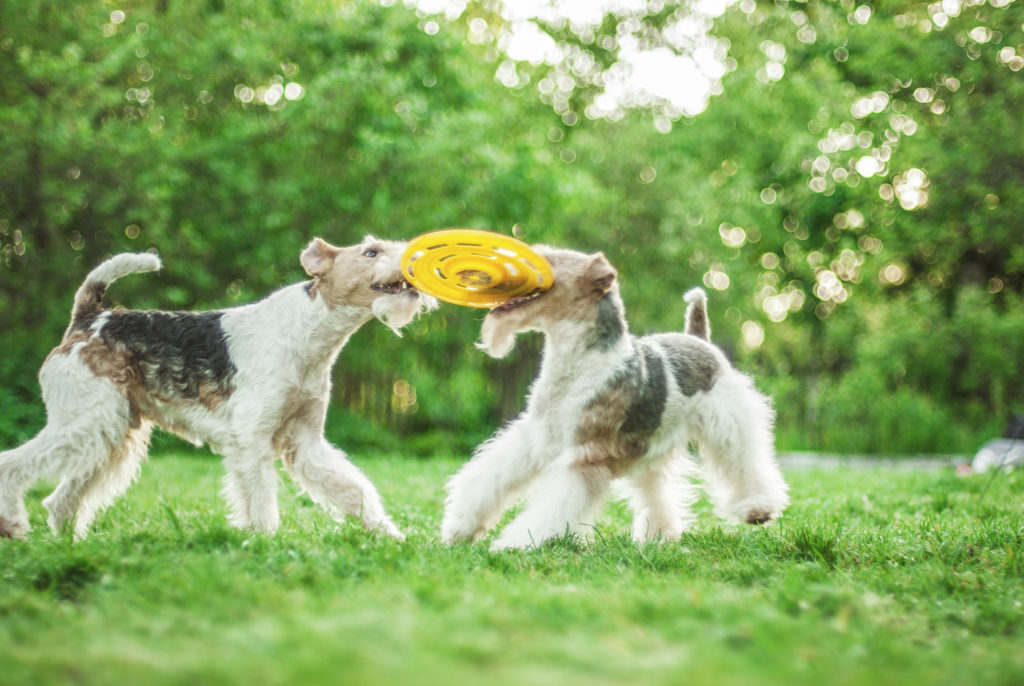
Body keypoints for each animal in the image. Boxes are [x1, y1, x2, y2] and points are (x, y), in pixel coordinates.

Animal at [0, 236, 436, 544]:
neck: (308, 332)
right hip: (87, 422)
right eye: (371, 251)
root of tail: (91, 319)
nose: (415, 258)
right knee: (13, 464)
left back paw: (69, 546)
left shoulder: (305, 442)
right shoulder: (252, 439)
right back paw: (14, 523)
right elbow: (260, 499)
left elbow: (352, 488)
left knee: (61, 500)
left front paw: (391, 536)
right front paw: (265, 543)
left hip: (111, 434)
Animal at [442, 247, 790, 552]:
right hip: (648, 449)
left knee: (745, 463)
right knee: (656, 492)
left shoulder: (586, 456)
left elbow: (553, 507)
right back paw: (659, 535)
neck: (578, 364)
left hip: (728, 423)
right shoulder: (535, 439)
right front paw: (459, 528)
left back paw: (758, 509)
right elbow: (487, 480)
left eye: (545, 260)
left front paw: (515, 543)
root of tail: (698, 338)